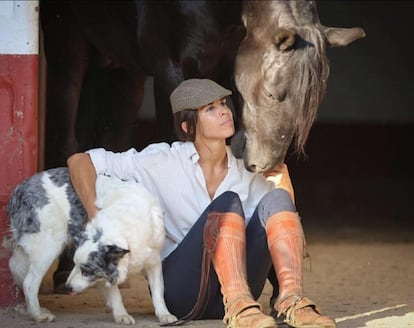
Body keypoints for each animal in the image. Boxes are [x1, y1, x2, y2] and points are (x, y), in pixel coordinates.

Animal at [4, 168, 177, 324]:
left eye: (86, 270)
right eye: (75, 264)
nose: (67, 287)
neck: (128, 223)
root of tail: (18, 190)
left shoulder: (154, 261)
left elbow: (158, 292)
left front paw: (164, 314)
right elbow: (114, 292)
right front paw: (121, 314)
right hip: (48, 248)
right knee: (29, 283)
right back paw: (38, 315)